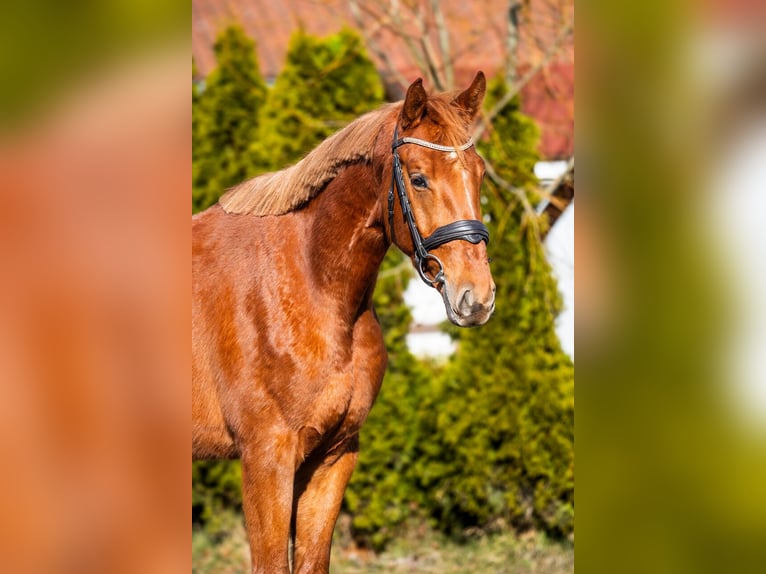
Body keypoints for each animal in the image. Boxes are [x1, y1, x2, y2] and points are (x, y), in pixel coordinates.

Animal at [189, 73, 496, 574]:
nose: (477, 297)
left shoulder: (331, 459)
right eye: (418, 178)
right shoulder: (266, 460)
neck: (313, 282)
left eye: (481, 173)